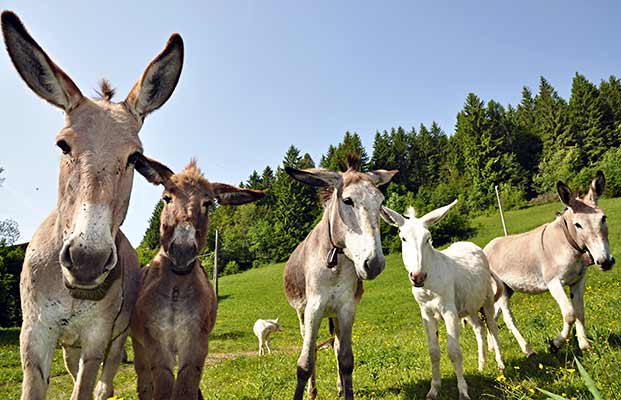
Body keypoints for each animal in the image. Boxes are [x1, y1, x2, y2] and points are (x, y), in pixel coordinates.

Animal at [380, 202, 506, 400]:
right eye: (403, 238)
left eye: (428, 239)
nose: (418, 277)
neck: (429, 285)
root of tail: (470, 244)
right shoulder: (426, 313)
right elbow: (433, 352)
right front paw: (433, 390)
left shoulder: (449, 311)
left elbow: (454, 352)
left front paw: (463, 392)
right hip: (469, 307)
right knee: (479, 328)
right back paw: (481, 365)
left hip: (486, 300)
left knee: (492, 328)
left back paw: (500, 366)